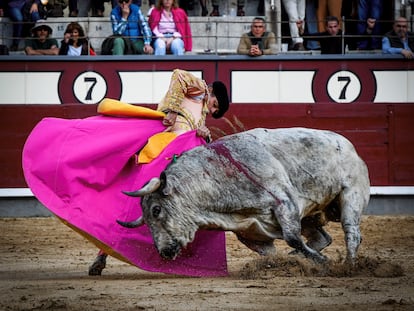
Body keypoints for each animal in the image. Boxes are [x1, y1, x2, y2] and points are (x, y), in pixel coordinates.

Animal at [118, 128, 370, 264]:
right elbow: (270, 254)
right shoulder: (249, 232)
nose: (165, 252)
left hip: (351, 195)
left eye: (156, 210)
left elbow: (292, 237)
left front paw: (322, 262)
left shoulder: (284, 203)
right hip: (311, 214)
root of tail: (348, 145)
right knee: (322, 238)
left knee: (352, 233)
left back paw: (349, 264)